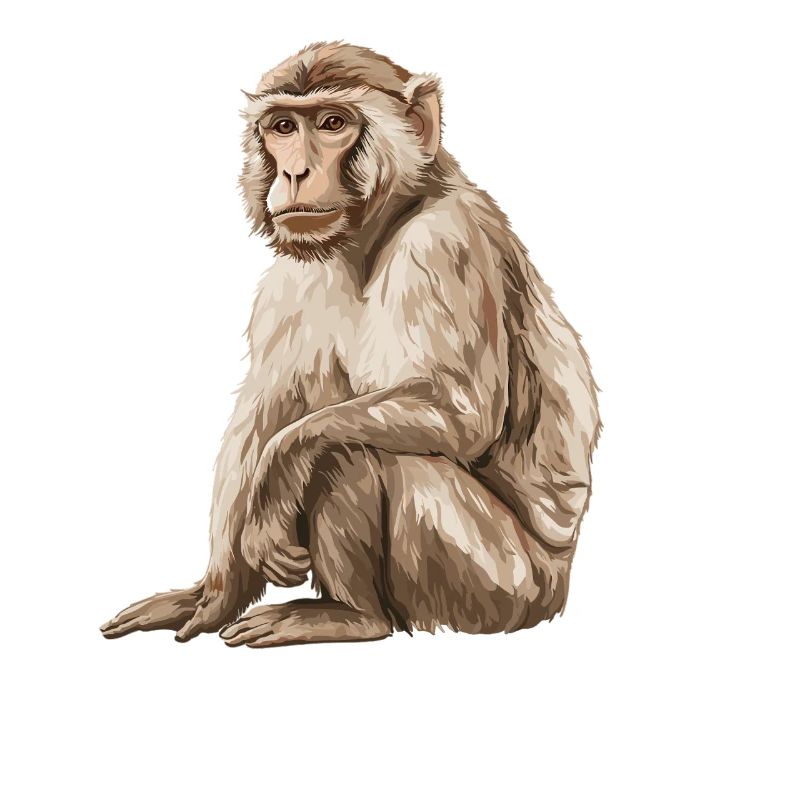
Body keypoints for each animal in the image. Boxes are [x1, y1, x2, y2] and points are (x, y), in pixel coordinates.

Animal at [100, 42, 601, 648]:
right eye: (284, 127)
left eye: (333, 124)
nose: (294, 171)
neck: (378, 228)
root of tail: (557, 587)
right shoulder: (290, 280)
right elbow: (262, 411)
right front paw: (214, 593)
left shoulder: (443, 243)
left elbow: (459, 415)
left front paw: (276, 481)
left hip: (497, 587)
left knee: (352, 445)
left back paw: (353, 615)